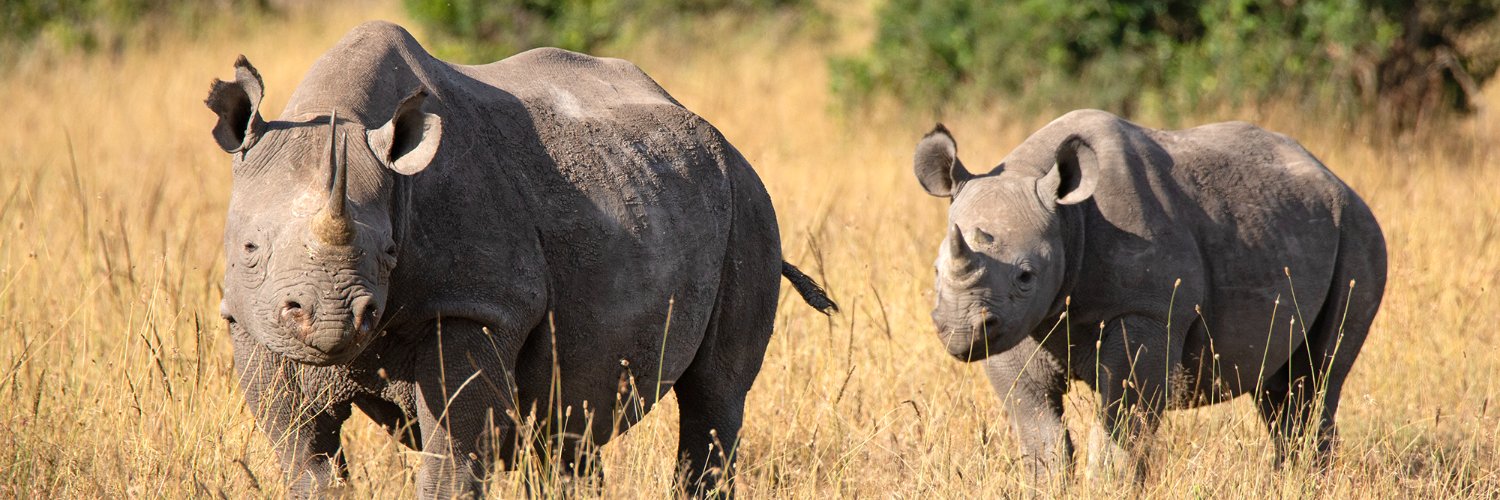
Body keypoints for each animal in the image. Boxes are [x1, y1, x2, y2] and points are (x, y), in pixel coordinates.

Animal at [207, 21, 835, 498]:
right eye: (250, 250)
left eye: (389, 253)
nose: (334, 320)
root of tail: (724, 140)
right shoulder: (253, 321)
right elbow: (305, 459)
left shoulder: (477, 306)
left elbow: (452, 458)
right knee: (569, 422)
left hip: (749, 207)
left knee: (714, 396)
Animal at [912, 110, 1386, 482]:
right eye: (935, 270)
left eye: (1026, 276)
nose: (959, 330)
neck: (1067, 219)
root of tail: (1336, 178)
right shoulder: (1018, 324)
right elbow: (1037, 428)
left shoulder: (1149, 311)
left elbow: (1123, 424)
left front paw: (1109, 487)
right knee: (1280, 390)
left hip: (1360, 233)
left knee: (1317, 380)